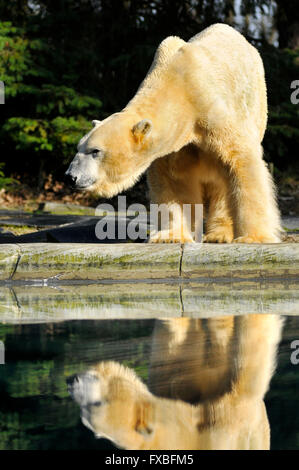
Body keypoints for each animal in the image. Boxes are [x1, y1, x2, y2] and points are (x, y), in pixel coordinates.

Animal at [65, 23, 282, 242]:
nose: (71, 176)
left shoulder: (212, 113)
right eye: (79, 147)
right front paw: (170, 235)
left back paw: (219, 234)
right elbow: (174, 180)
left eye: (95, 151)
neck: (179, 86)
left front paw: (253, 237)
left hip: (256, 107)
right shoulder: (175, 142)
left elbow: (241, 161)